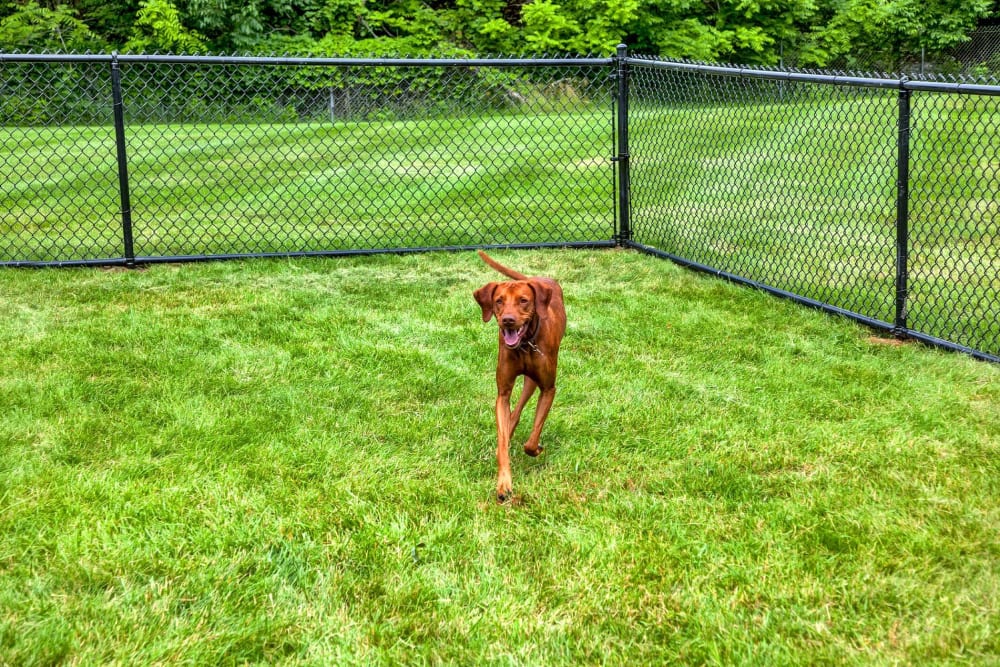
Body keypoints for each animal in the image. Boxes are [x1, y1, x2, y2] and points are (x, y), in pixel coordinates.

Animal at [474, 250, 568, 500]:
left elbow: (533, 437)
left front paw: (536, 448)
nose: (508, 320)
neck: (525, 344)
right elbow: (503, 438)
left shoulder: (548, 388)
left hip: (532, 381)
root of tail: (536, 278)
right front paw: (503, 484)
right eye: (499, 301)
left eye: (523, 300)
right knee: (512, 416)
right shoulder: (503, 393)